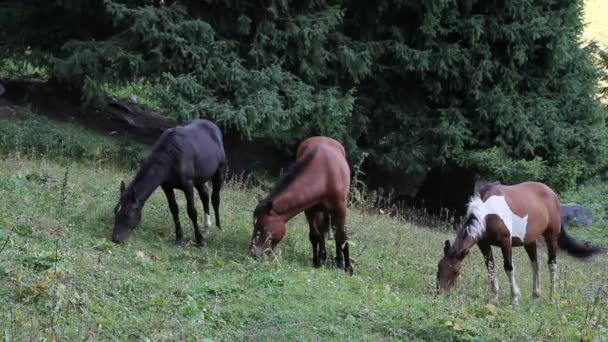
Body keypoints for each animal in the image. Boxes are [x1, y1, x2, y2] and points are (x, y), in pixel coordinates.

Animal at [248, 137, 354, 276]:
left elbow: (342, 237)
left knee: (336, 232)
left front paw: (346, 268)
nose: (253, 254)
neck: (324, 175)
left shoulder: (341, 209)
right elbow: (314, 236)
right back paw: (323, 256)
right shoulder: (309, 210)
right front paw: (317, 262)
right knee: (322, 232)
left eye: (264, 227)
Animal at [436, 182, 604, 304]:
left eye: (456, 271)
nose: (440, 293)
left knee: (552, 264)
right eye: (439, 267)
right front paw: (494, 297)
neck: (487, 213)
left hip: (551, 236)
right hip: (530, 240)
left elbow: (509, 268)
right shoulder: (483, 244)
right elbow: (491, 268)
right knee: (535, 264)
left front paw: (514, 298)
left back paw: (552, 297)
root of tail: (551, 193)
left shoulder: (505, 242)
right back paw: (536, 294)